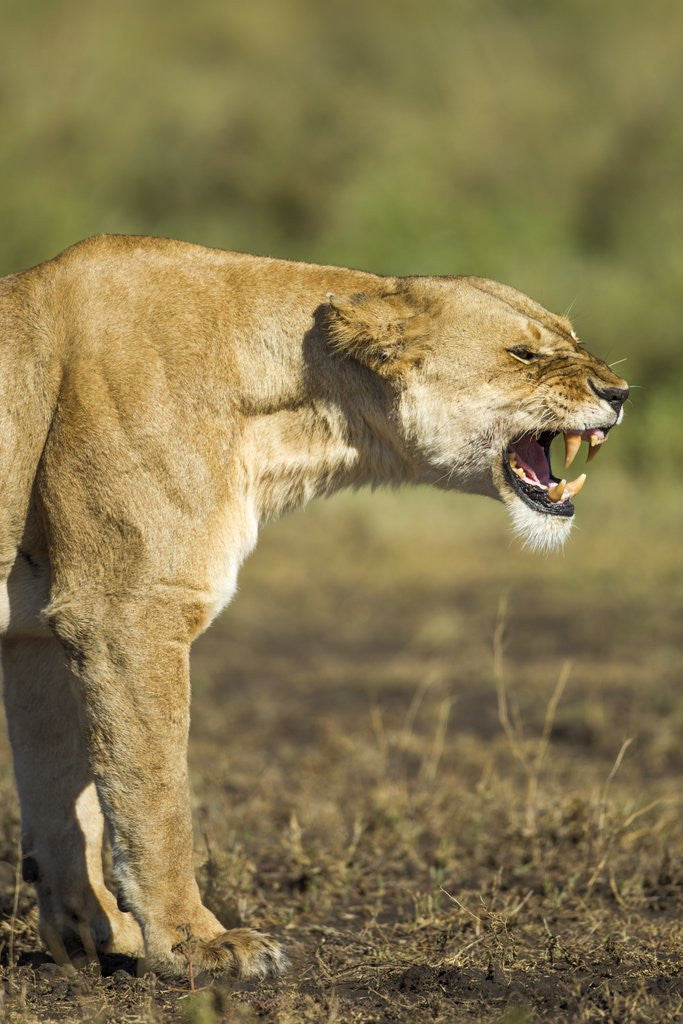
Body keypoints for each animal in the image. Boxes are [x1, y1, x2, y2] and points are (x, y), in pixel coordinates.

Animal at [0, 234, 628, 980]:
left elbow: (62, 794)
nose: (619, 393)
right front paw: (195, 944)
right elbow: (153, 791)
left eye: (573, 340)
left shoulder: (40, 632)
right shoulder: (125, 610)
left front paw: (95, 935)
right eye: (523, 354)